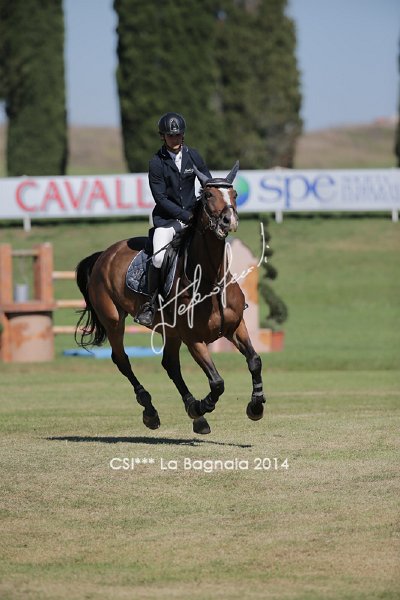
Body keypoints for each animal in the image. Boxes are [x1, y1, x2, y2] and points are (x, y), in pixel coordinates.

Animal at [75, 162, 266, 435]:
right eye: (208, 195)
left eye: (235, 194)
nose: (229, 221)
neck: (210, 280)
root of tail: (104, 254)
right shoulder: (193, 339)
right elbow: (217, 382)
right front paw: (203, 405)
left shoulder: (235, 327)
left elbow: (254, 361)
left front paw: (256, 406)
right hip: (113, 321)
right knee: (122, 360)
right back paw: (152, 411)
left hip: (171, 331)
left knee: (170, 365)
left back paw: (196, 416)